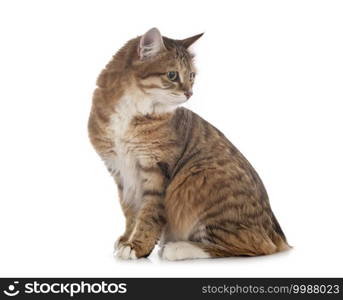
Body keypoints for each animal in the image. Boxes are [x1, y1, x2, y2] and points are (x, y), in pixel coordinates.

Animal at [87, 27, 288, 258]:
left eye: (191, 76)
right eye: (172, 75)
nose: (189, 93)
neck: (132, 112)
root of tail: (278, 235)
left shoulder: (156, 170)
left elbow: (149, 215)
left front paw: (137, 247)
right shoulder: (121, 172)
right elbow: (130, 212)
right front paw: (127, 239)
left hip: (198, 176)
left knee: (252, 246)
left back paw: (178, 248)